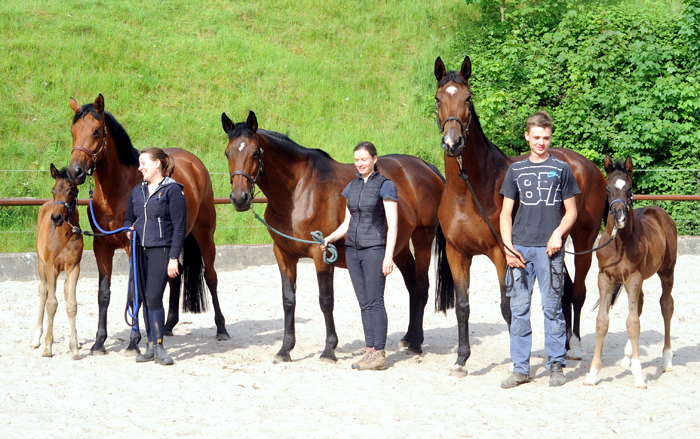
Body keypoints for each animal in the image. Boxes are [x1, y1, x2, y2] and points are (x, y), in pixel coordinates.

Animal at [30, 163, 83, 360]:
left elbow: (72, 304)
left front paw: (74, 348)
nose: (56, 218)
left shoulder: (74, 267)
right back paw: (36, 338)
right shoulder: (51, 267)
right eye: (54, 190)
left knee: (67, 291)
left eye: (72, 191)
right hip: (41, 264)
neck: (64, 235)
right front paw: (47, 347)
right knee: (43, 291)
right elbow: (51, 304)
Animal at [66, 94, 230, 356]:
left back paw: (221, 328)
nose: (75, 171)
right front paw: (99, 342)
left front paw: (134, 342)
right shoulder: (102, 246)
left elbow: (135, 294)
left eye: (96, 131)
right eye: (73, 131)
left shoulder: (131, 245)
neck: (116, 190)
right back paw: (167, 326)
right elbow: (104, 294)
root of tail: (195, 164)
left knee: (211, 277)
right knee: (174, 276)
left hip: (205, 235)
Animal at [221, 111, 446, 364]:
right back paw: (408, 337)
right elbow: (288, 301)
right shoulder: (283, 254)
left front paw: (329, 349)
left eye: (255, 153)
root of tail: (426, 166)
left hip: (423, 238)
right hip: (397, 246)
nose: (240, 198)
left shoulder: (321, 253)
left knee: (421, 286)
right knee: (411, 285)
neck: (298, 191)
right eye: (228, 153)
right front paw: (285, 349)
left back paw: (416, 344)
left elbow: (326, 300)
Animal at [432, 55, 608, 378]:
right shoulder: (456, 253)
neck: (469, 190)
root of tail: (588, 166)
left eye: (468, 98)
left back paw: (575, 347)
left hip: (583, 241)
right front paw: (461, 360)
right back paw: (564, 345)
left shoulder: (503, 254)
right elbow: (463, 306)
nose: (453, 144)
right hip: (556, 243)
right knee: (563, 291)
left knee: (577, 291)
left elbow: (508, 308)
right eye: (438, 99)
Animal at [584, 156, 680, 390]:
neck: (619, 242)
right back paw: (627, 357)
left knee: (666, 305)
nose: (619, 217)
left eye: (629, 188)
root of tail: (658, 210)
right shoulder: (605, 278)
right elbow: (603, 321)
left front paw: (639, 376)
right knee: (640, 305)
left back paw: (667, 359)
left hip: (666, 272)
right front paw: (592, 373)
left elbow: (633, 323)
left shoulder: (633, 278)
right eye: (607, 188)